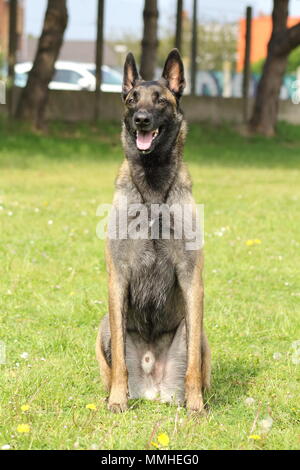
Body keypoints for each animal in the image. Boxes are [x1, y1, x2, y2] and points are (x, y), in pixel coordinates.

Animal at [96, 49, 211, 414]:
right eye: (132, 99)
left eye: (160, 99)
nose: (141, 119)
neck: (153, 189)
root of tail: (152, 389)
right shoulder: (117, 279)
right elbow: (120, 358)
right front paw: (118, 399)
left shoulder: (191, 280)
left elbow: (192, 366)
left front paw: (195, 405)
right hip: (104, 326)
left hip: (198, 332)